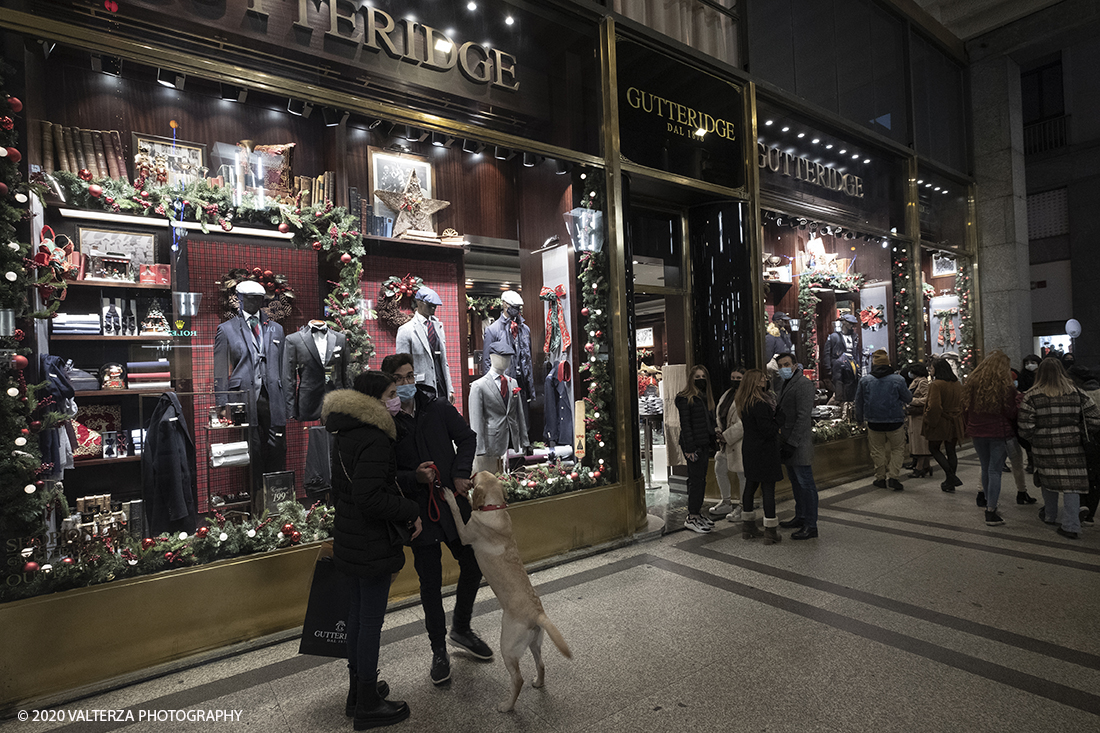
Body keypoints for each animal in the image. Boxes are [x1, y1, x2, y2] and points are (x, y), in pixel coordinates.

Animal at [442, 468, 572, 708]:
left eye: (476, 476)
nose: (471, 473)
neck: (495, 508)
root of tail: (538, 613)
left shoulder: (465, 533)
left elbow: (457, 514)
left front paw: (451, 497)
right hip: (534, 643)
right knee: (541, 664)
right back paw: (538, 683)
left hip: (507, 647)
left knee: (517, 679)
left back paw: (506, 706)